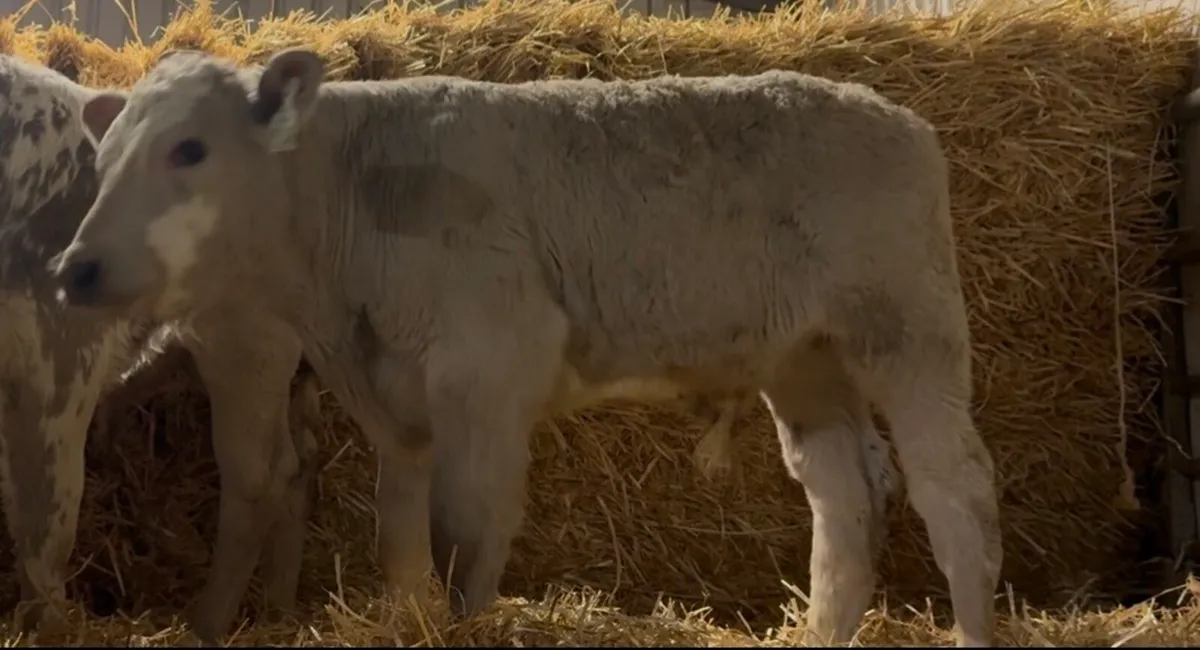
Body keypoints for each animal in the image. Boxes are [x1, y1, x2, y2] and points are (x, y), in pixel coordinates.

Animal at [0, 54, 324, 642]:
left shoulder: (60, 358)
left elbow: (45, 519)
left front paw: (46, 626)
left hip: (246, 344)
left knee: (259, 475)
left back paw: (208, 624)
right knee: (298, 459)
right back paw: (280, 611)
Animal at [48, 48, 1003, 647]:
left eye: (190, 148)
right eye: (106, 154)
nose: (75, 265)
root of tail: (895, 116)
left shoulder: (488, 376)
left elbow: (466, 539)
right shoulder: (393, 407)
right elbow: (401, 547)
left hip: (908, 334)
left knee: (955, 495)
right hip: (805, 360)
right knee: (844, 497)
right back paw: (821, 632)